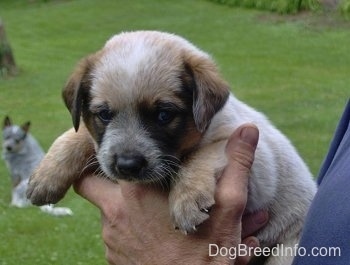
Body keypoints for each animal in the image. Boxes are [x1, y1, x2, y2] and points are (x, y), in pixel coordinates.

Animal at [28, 30, 318, 262]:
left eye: (164, 115)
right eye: (104, 114)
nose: (127, 165)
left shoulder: (253, 156)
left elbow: (201, 155)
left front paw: (187, 201)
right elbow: (77, 136)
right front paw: (45, 176)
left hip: (285, 251)